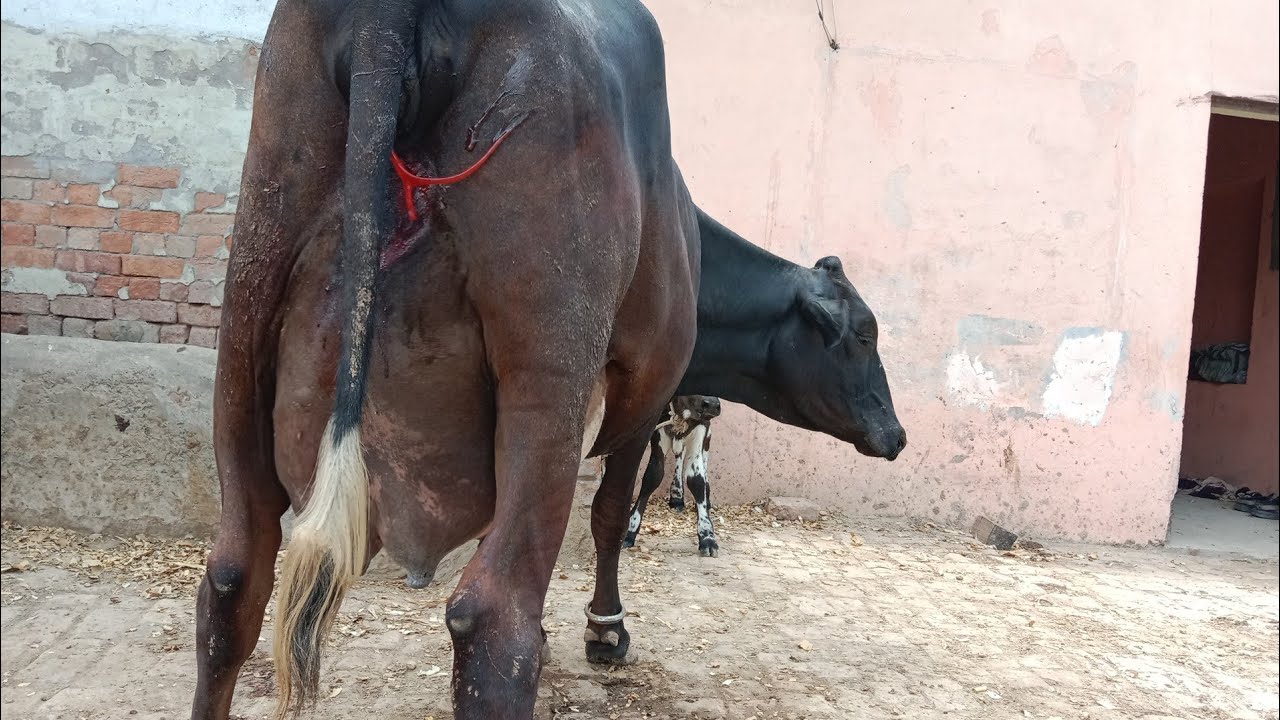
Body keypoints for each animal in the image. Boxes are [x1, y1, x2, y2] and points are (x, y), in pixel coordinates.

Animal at [623, 394, 723, 556]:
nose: (712, 405)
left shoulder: (702, 428)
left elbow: (697, 481)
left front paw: (707, 537)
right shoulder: (658, 435)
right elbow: (652, 477)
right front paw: (630, 531)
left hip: (707, 437)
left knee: (702, 461)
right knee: (679, 455)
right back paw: (676, 497)